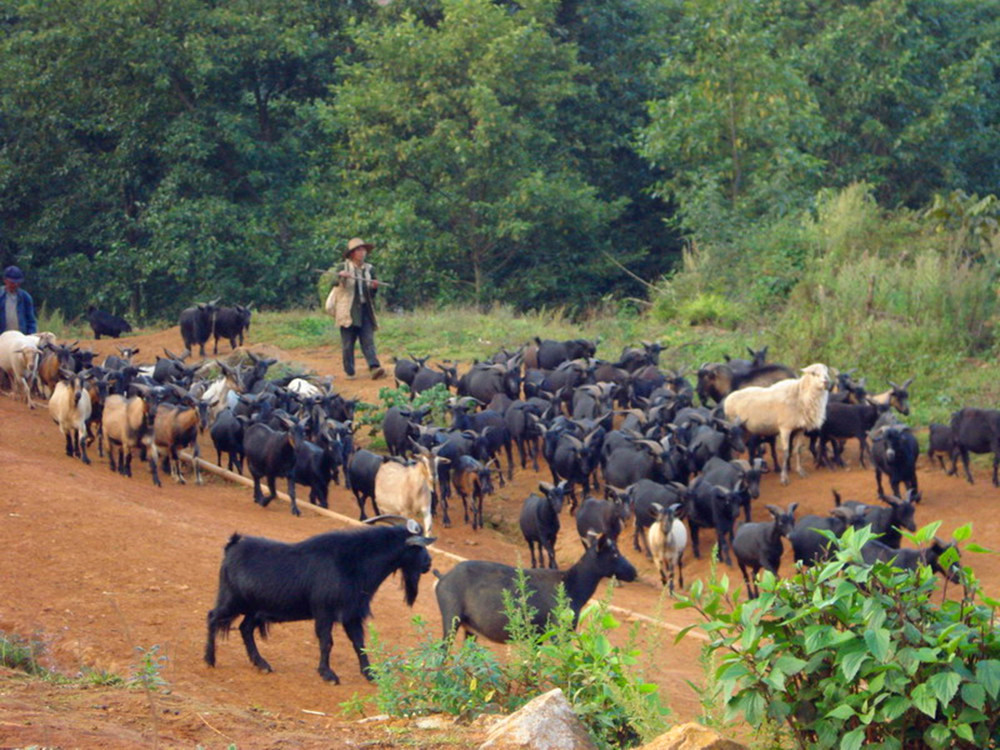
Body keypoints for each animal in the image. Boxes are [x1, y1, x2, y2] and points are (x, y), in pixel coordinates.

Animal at [204, 520, 434, 684]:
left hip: (254, 609)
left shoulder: (351, 615)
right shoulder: (324, 612)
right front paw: (328, 674)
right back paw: (209, 660)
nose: (429, 564)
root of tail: (232, 545)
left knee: (245, 628)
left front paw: (370, 674)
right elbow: (327, 643)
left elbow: (359, 644)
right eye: (419, 548)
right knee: (212, 617)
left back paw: (261, 664)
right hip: (232, 600)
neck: (354, 562)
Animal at [434, 536, 636, 648]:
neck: (572, 585)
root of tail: (442, 577)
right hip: (451, 618)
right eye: (615, 553)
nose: (634, 572)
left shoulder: (537, 636)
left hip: (470, 629)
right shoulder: (557, 631)